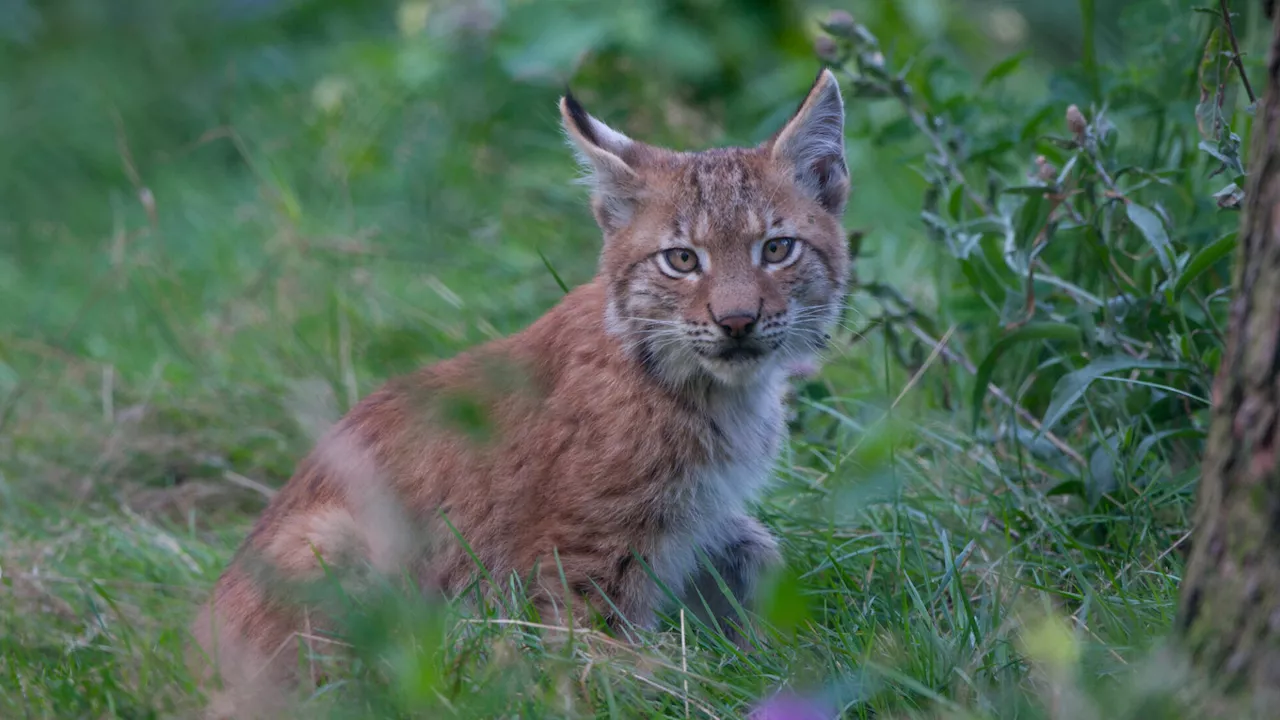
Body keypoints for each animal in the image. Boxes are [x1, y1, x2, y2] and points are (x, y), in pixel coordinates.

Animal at [189, 67, 849, 712]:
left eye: (777, 249)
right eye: (682, 260)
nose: (736, 322)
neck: (707, 388)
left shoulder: (705, 510)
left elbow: (758, 548)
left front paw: (767, 647)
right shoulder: (581, 558)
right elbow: (601, 662)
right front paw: (694, 680)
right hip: (340, 534)